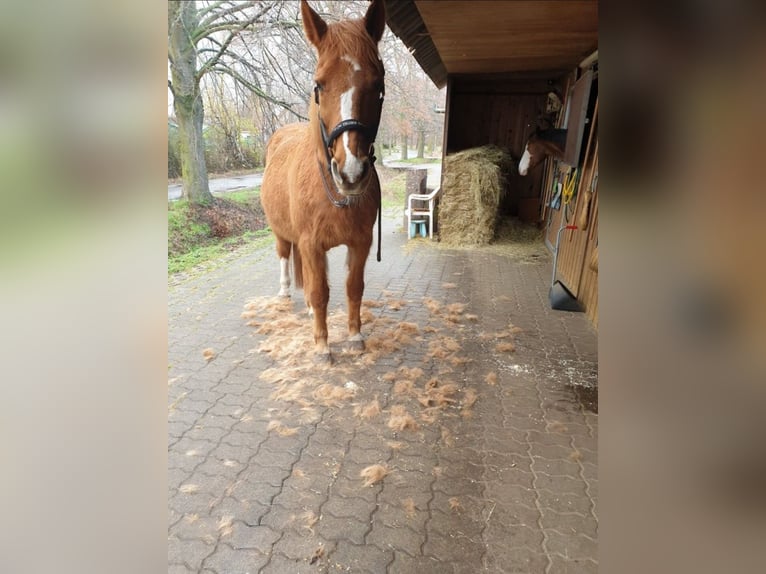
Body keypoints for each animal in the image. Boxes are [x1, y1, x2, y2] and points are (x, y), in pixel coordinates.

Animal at [259, 0, 386, 363]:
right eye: (319, 85)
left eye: (378, 84)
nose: (351, 172)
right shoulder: (311, 244)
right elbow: (319, 292)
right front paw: (321, 345)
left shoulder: (360, 242)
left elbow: (353, 288)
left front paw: (355, 336)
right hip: (281, 233)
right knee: (284, 255)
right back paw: (285, 293)